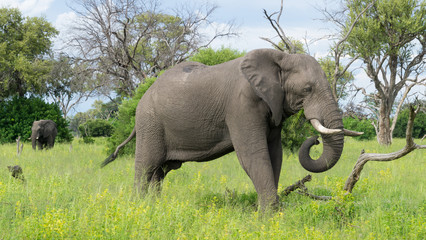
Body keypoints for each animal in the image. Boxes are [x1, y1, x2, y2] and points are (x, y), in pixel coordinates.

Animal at [101, 48, 362, 210]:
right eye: (307, 89)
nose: (314, 140)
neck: (281, 57)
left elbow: (274, 155)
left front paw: (270, 213)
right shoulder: (241, 105)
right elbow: (253, 155)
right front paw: (269, 216)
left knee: (160, 172)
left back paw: (155, 207)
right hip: (150, 122)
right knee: (147, 166)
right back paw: (139, 207)